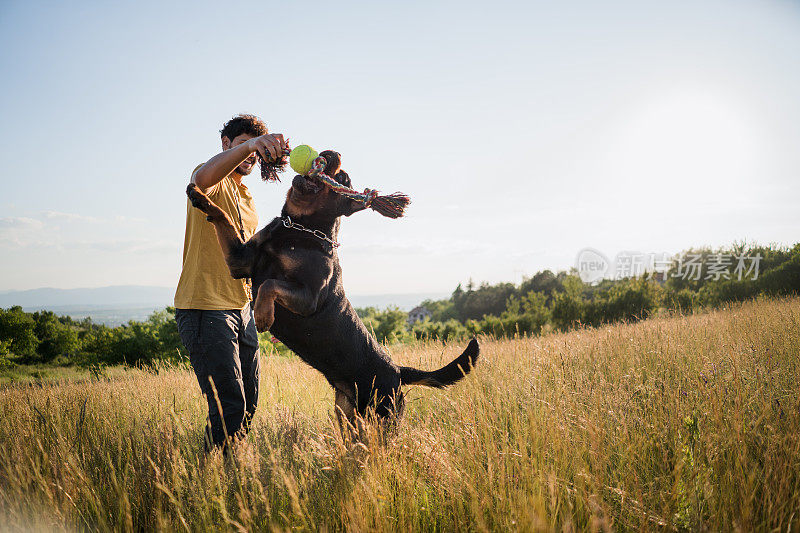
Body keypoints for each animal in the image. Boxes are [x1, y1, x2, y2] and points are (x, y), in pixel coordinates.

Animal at [184, 149, 478, 424]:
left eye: (343, 179)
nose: (331, 152)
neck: (299, 228)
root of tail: (397, 370)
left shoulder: (308, 297)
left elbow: (269, 284)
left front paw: (263, 316)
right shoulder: (239, 260)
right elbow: (223, 216)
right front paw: (199, 195)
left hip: (382, 416)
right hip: (347, 414)